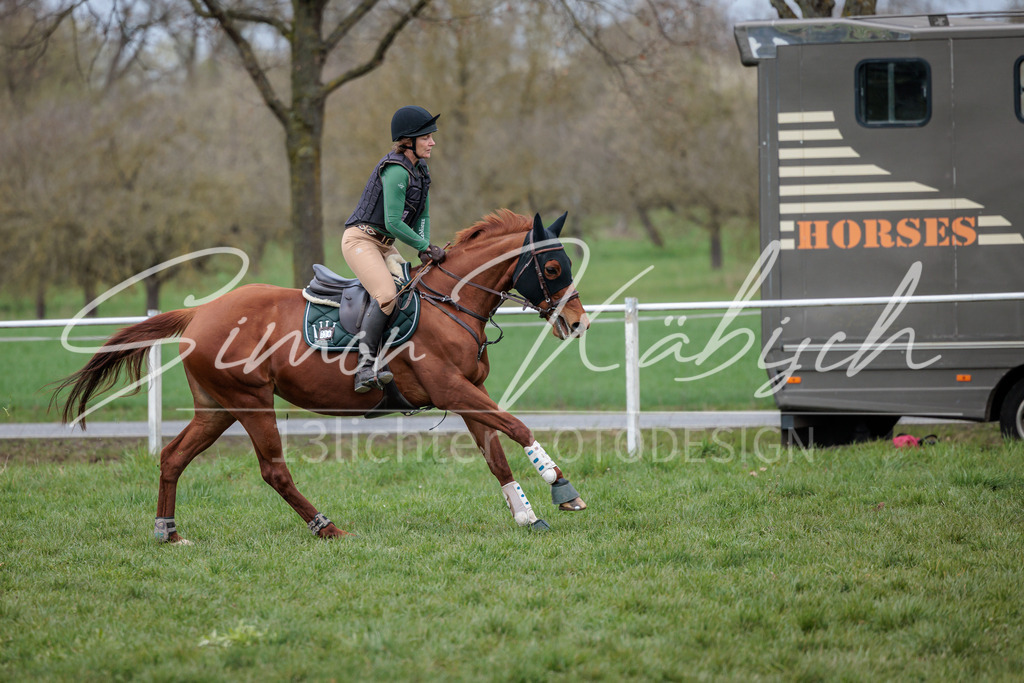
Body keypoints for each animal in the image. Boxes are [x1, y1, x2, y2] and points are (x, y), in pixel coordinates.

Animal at [54, 210, 591, 543]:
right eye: (551, 267)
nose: (578, 322)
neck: (450, 303)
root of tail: (201, 312)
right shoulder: (452, 389)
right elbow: (517, 426)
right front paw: (563, 488)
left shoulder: (469, 391)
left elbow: (495, 454)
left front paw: (526, 514)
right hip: (251, 402)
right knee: (273, 471)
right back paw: (327, 528)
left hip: (218, 407)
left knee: (173, 457)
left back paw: (169, 532)